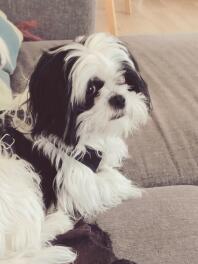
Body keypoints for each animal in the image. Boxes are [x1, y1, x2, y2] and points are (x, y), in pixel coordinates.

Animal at [0, 33, 152, 264]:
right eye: (91, 89)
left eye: (123, 80)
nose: (118, 98)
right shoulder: (72, 181)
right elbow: (106, 182)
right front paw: (131, 188)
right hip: (17, 174)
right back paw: (58, 224)